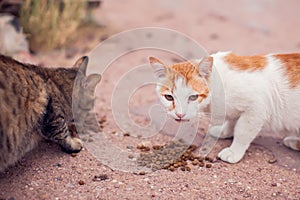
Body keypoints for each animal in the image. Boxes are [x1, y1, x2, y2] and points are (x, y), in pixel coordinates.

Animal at [150, 52, 300, 163]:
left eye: (193, 97)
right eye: (169, 97)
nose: (180, 114)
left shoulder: (256, 108)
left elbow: (242, 131)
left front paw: (234, 151)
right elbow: (232, 121)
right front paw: (223, 131)